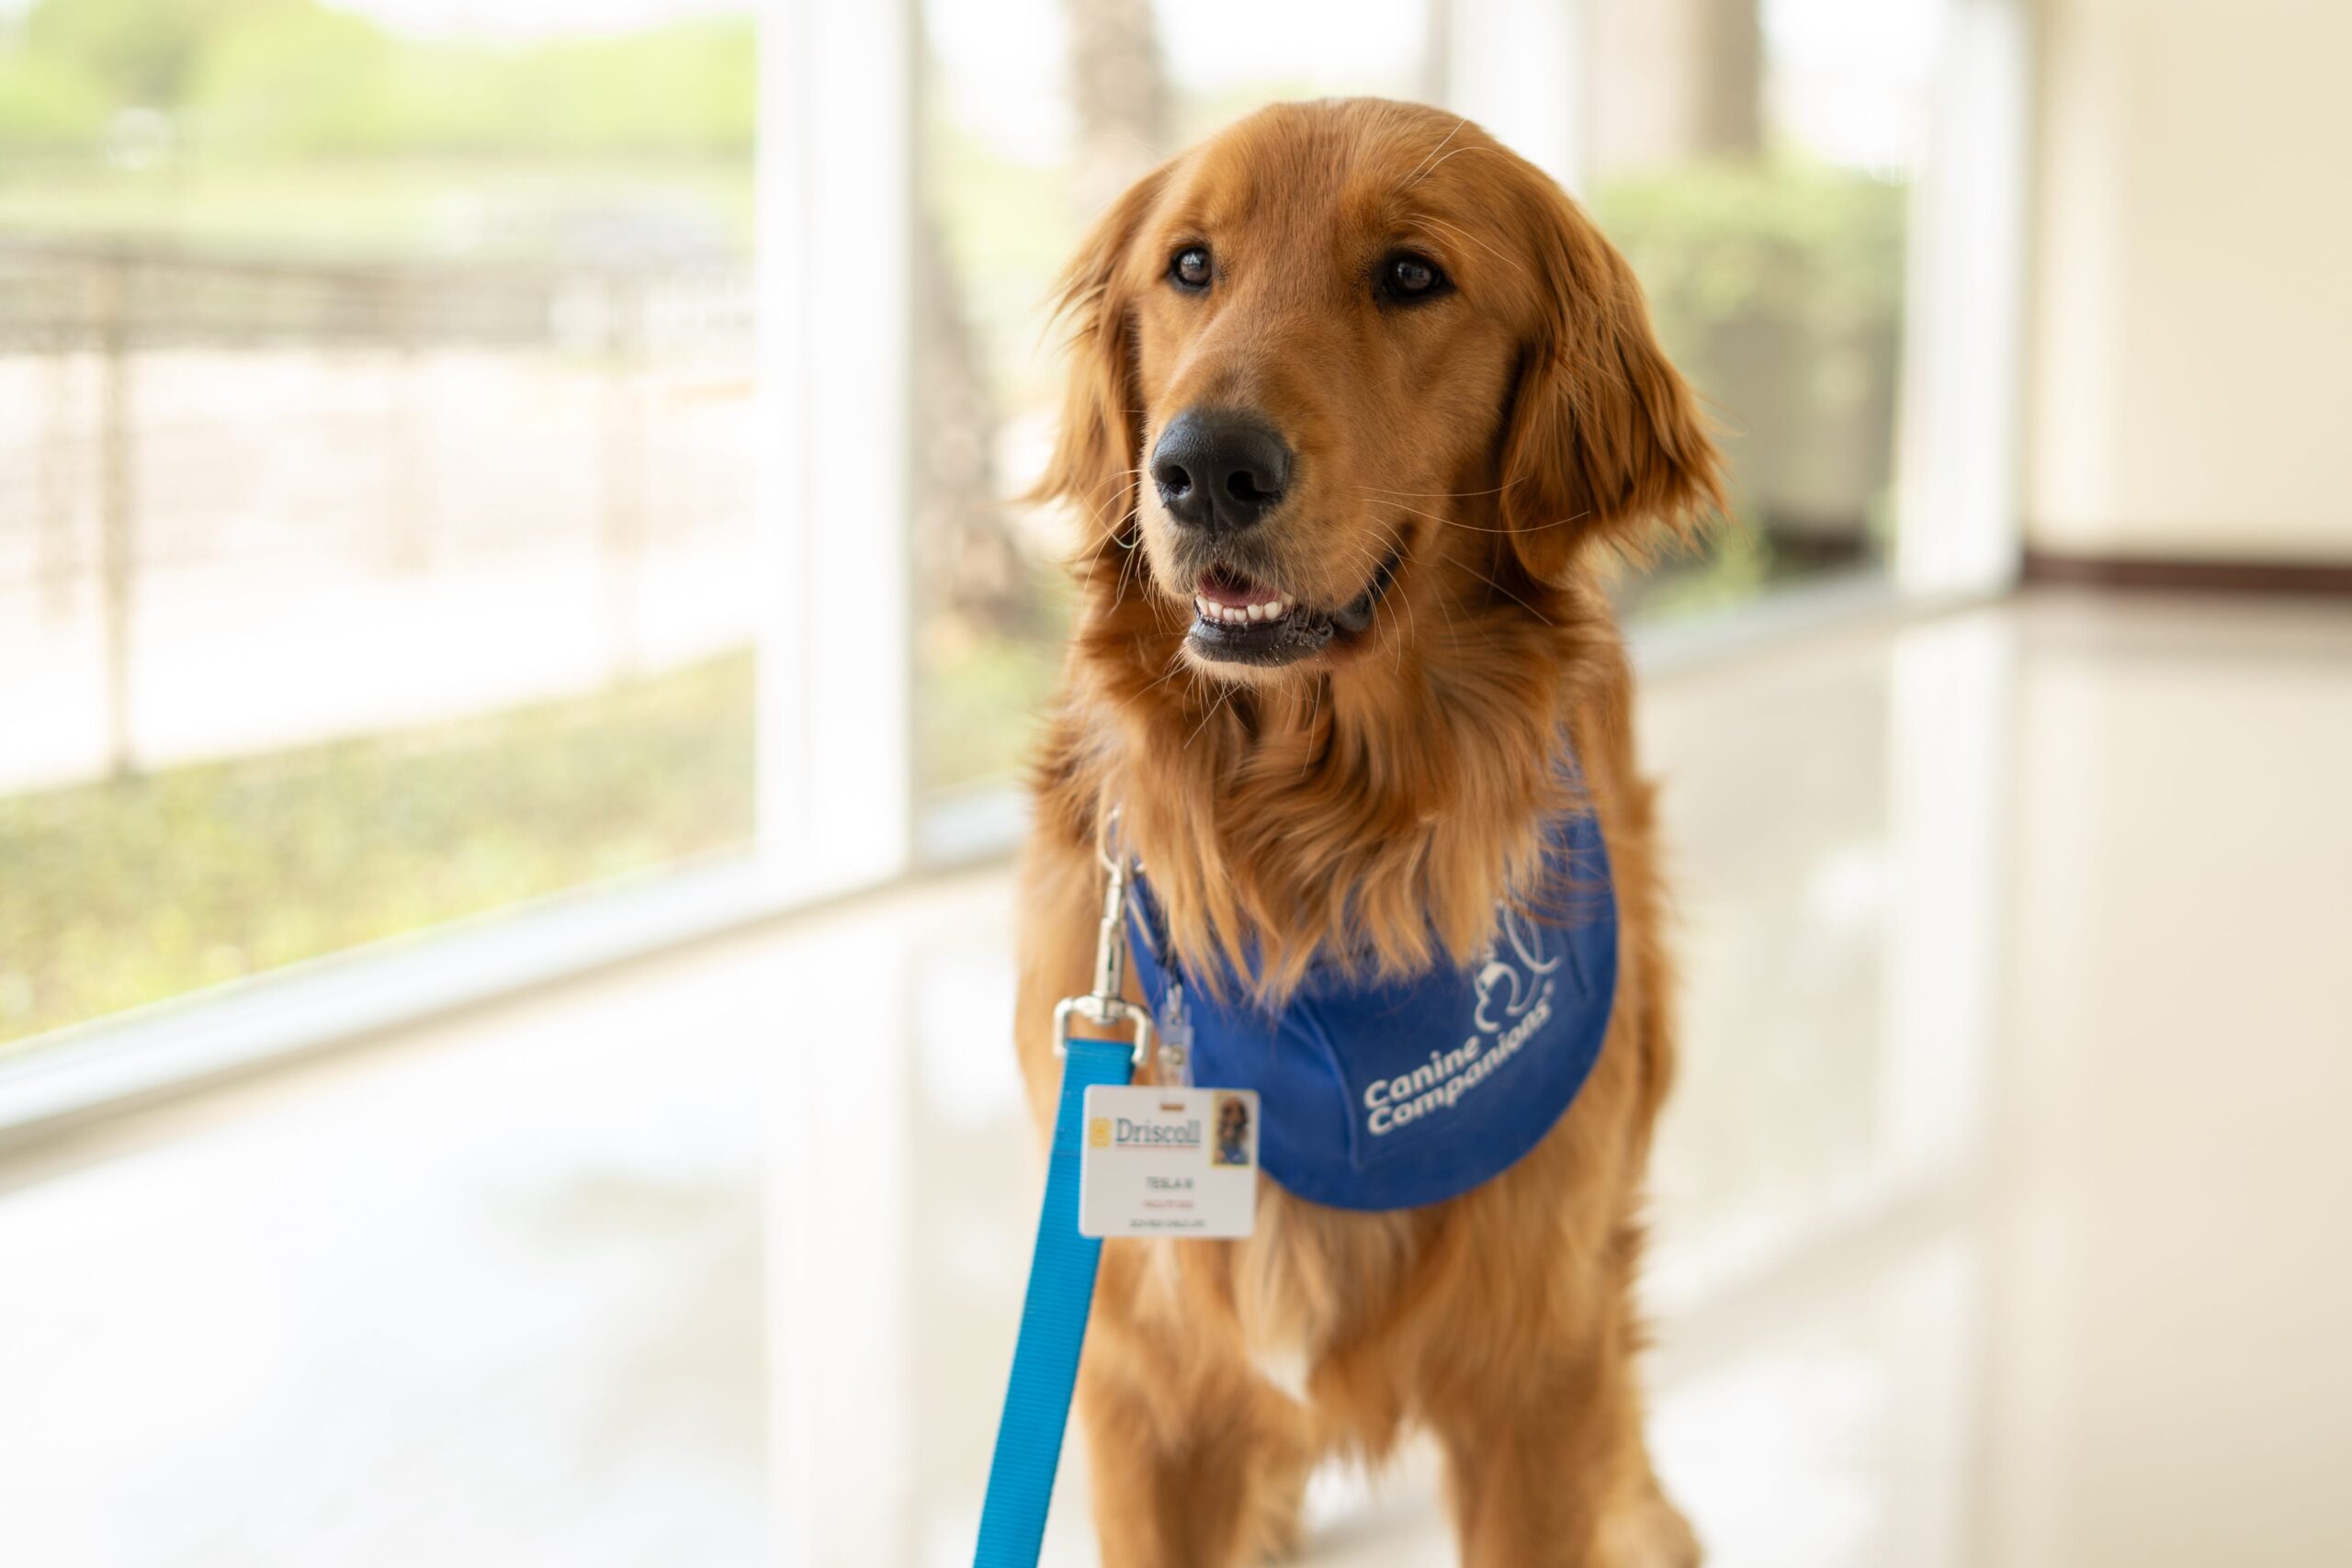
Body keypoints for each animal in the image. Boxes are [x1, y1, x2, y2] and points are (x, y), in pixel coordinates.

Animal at [1015, 101, 1731, 1568]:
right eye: (1188, 266)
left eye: (1411, 276)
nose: (1203, 469)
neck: (1309, 871)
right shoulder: (1144, 1390)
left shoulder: (1536, 1374)